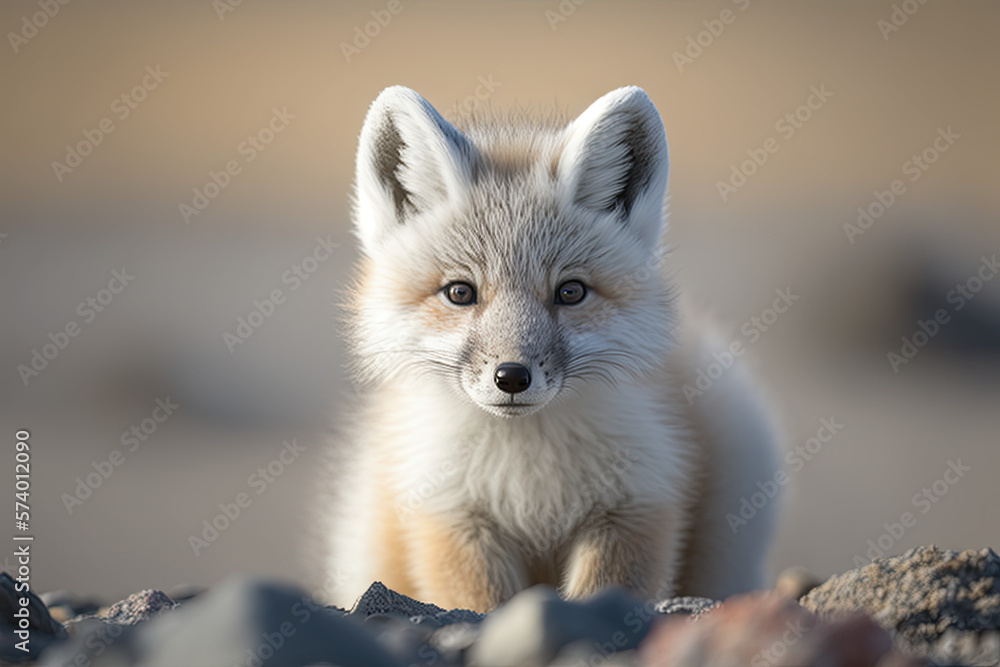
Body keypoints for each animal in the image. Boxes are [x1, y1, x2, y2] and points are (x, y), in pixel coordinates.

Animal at [319, 85, 782, 613]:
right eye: (460, 292)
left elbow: (604, 593)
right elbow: (483, 605)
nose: (512, 377)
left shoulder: (638, 504)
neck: (530, 481)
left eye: (570, 292)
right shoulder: (450, 517)